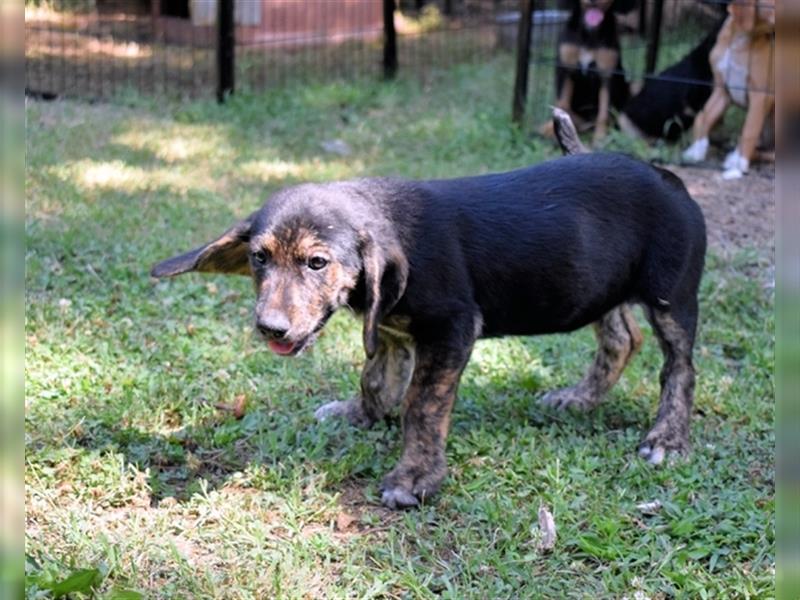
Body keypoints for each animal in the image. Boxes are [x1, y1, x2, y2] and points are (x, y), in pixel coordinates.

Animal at [152, 111, 708, 506]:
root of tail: (661, 174)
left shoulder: (451, 330)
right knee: (621, 338)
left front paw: (414, 476)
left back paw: (668, 438)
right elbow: (375, 379)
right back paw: (581, 398)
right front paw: (359, 414)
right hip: (596, 284)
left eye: (317, 262)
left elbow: (422, 405)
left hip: (672, 294)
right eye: (258, 258)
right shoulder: (390, 328)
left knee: (679, 368)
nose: (270, 328)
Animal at [680, 0, 776, 178]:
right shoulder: (722, 90)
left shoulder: (760, 97)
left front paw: (739, 167)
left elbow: (749, 131)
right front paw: (696, 150)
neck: (741, 40)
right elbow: (704, 118)